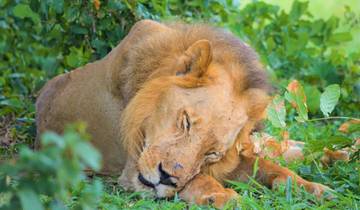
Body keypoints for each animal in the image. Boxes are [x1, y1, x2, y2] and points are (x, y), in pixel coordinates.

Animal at [36, 20, 332, 208]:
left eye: (212, 153)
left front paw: (312, 188)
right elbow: (197, 179)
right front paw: (222, 196)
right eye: (186, 122)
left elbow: (271, 167)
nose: (166, 177)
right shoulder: (131, 169)